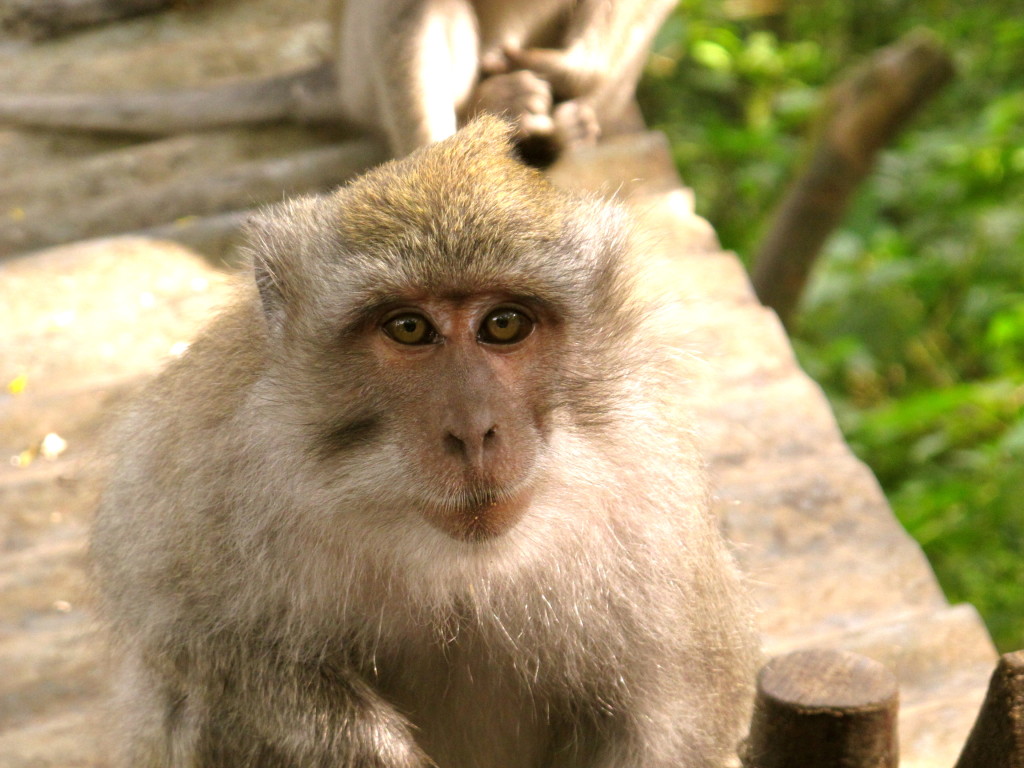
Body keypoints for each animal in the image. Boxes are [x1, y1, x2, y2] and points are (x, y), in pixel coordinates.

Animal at [90, 115, 761, 768]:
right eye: (409, 328)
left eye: (504, 324)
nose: (471, 430)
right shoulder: (199, 474)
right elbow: (206, 656)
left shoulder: (657, 513)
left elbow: (679, 716)